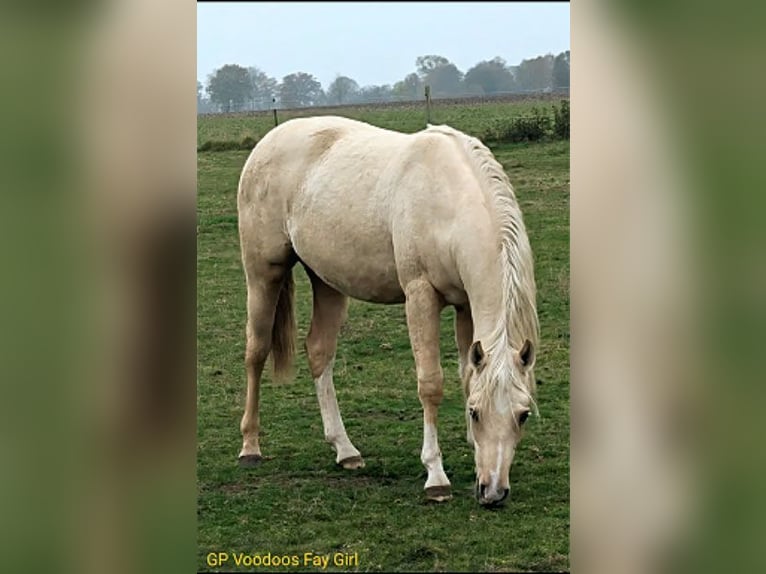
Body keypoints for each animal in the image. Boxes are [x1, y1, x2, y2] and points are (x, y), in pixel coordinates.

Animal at [236, 117, 540, 508]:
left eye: (523, 415)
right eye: (476, 412)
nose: (493, 492)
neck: (447, 202)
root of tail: (269, 140)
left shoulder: (465, 305)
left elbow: (466, 374)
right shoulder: (420, 295)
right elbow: (431, 383)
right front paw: (436, 476)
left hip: (328, 282)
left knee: (319, 351)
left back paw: (345, 450)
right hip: (264, 274)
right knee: (256, 352)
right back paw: (250, 446)